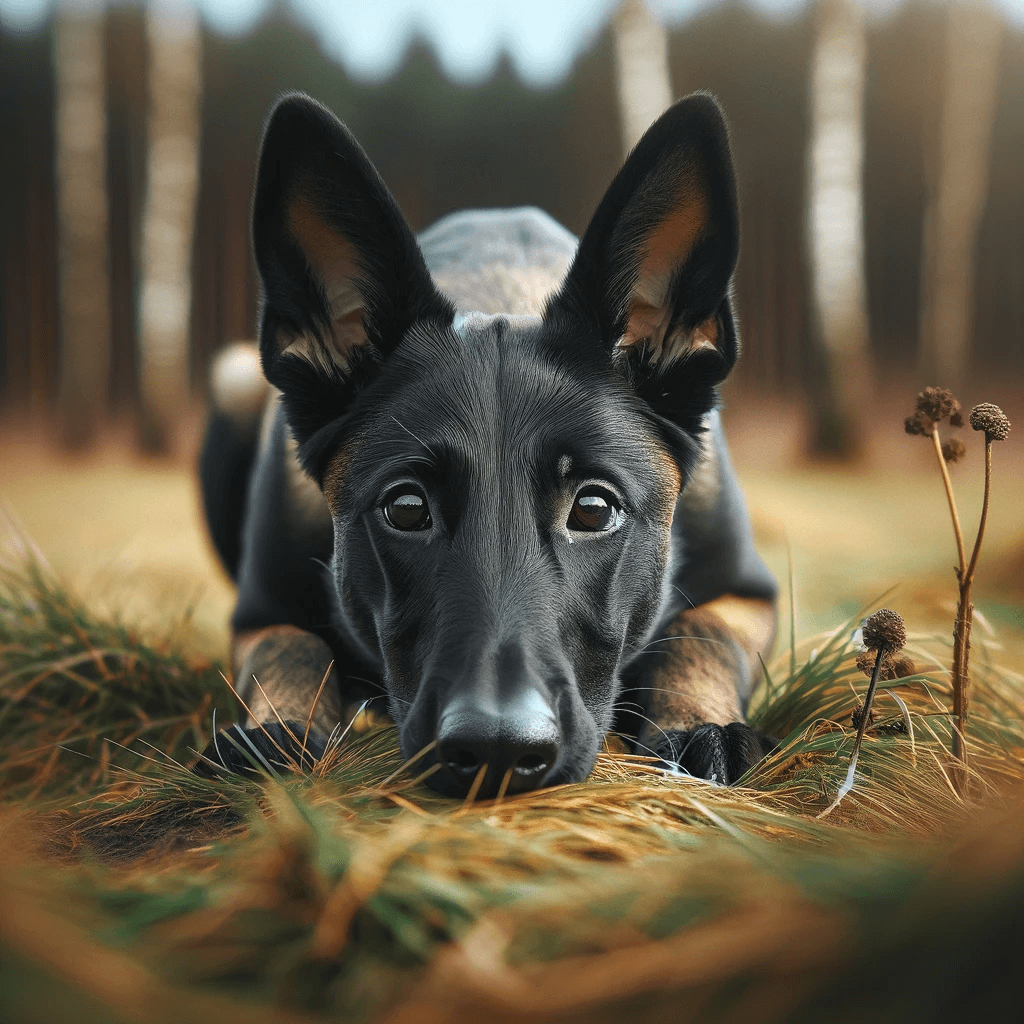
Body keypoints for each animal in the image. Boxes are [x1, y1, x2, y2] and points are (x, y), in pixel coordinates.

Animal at [197, 92, 774, 794]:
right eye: (406, 509)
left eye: (594, 509)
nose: (498, 750)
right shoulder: (260, 613)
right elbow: (294, 646)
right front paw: (275, 729)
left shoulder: (747, 594)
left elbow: (698, 633)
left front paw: (699, 726)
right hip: (230, 381)